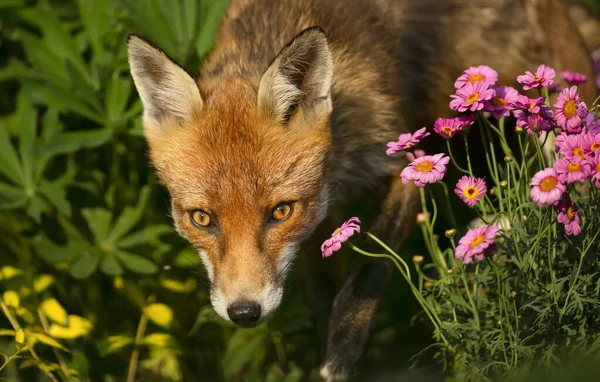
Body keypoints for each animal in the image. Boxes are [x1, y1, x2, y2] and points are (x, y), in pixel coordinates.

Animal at [126, 0, 596, 378]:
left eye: (279, 211)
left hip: (552, 114)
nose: (244, 312)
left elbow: (366, 276)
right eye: (201, 219)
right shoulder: (318, 227)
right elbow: (321, 301)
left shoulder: (407, 165)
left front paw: (339, 359)